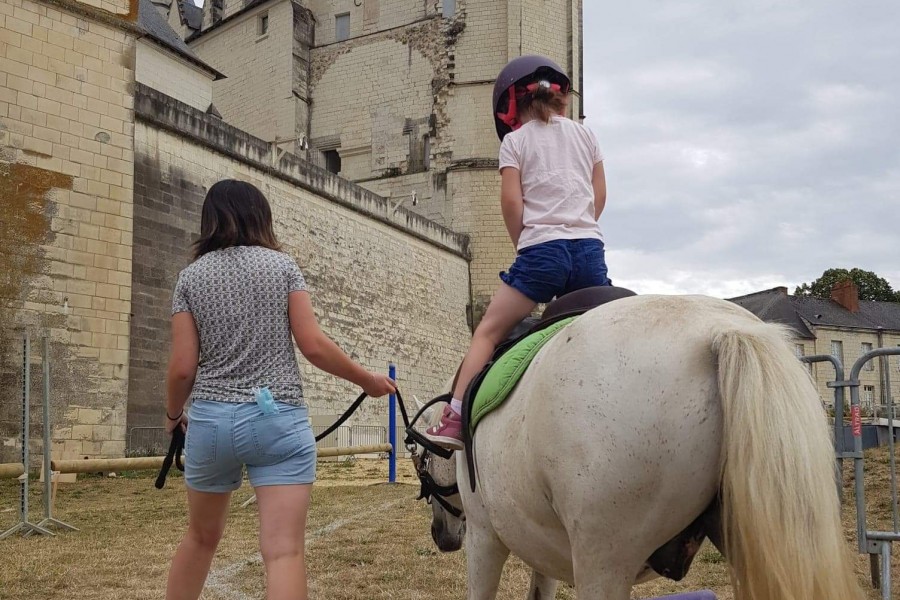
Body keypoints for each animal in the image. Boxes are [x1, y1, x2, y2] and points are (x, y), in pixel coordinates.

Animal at [418, 294, 860, 600]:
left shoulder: (484, 538)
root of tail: (719, 330)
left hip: (603, 560)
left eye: (421, 459)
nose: (440, 534)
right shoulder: (538, 545)